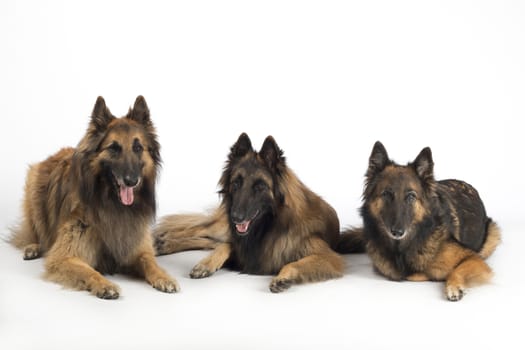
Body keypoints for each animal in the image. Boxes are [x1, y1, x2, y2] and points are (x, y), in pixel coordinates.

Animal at [9, 95, 178, 298]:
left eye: (138, 147)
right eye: (114, 148)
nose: (131, 181)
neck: (113, 205)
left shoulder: (137, 248)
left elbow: (150, 262)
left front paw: (164, 277)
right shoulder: (64, 256)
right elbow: (88, 271)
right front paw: (105, 285)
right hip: (34, 189)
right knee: (35, 232)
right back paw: (33, 247)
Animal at [154, 133, 346, 292]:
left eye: (260, 186)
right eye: (236, 183)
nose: (236, 217)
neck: (268, 227)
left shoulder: (329, 256)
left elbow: (293, 264)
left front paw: (283, 278)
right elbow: (225, 246)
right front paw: (205, 264)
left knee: (206, 240)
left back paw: (163, 243)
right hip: (221, 227)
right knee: (197, 230)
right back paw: (161, 240)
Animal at [340, 142, 500, 300]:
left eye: (411, 196)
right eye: (386, 194)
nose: (397, 232)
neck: (402, 248)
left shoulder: (473, 258)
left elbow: (456, 271)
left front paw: (453, 286)